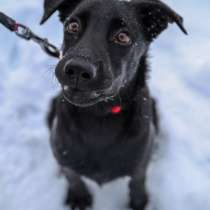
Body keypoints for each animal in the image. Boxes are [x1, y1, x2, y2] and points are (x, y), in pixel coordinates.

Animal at [41, 0, 187, 209]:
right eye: (73, 26)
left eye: (122, 37)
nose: (77, 69)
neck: (99, 116)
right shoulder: (64, 155)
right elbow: (73, 176)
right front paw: (79, 197)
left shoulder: (139, 166)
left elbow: (137, 184)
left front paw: (139, 202)